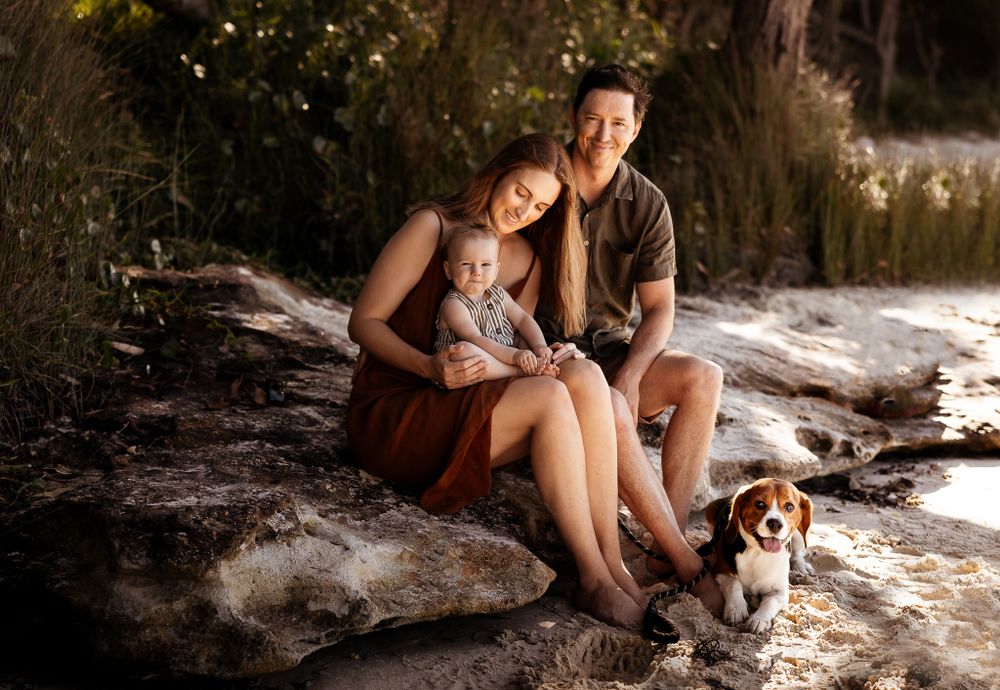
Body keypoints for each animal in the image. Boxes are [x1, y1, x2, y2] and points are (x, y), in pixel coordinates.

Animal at [704, 478, 812, 628]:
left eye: (790, 507)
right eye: (759, 504)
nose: (775, 523)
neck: (758, 553)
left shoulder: (780, 592)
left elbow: (770, 602)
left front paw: (759, 619)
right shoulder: (719, 571)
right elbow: (734, 583)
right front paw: (736, 609)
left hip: (798, 535)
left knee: (797, 553)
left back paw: (801, 568)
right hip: (710, 509)